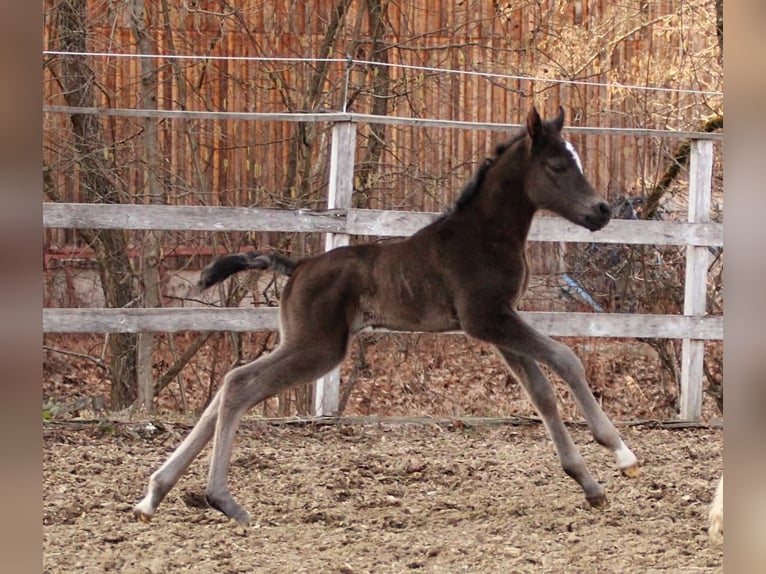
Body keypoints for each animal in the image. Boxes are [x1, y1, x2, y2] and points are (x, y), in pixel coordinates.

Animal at [134, 106, 639, 526]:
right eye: (557, 166)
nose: (601, 211)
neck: (485, 234)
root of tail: (297, 266)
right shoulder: (486, 318)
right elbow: (567, 360)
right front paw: (620, 452)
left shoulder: (496, 324)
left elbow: (541, 393)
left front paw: (589, 484)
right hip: (318, 347)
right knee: (239, 385)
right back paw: (224, 501)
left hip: (300, 341)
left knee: (224, 389)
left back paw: (154, 495)